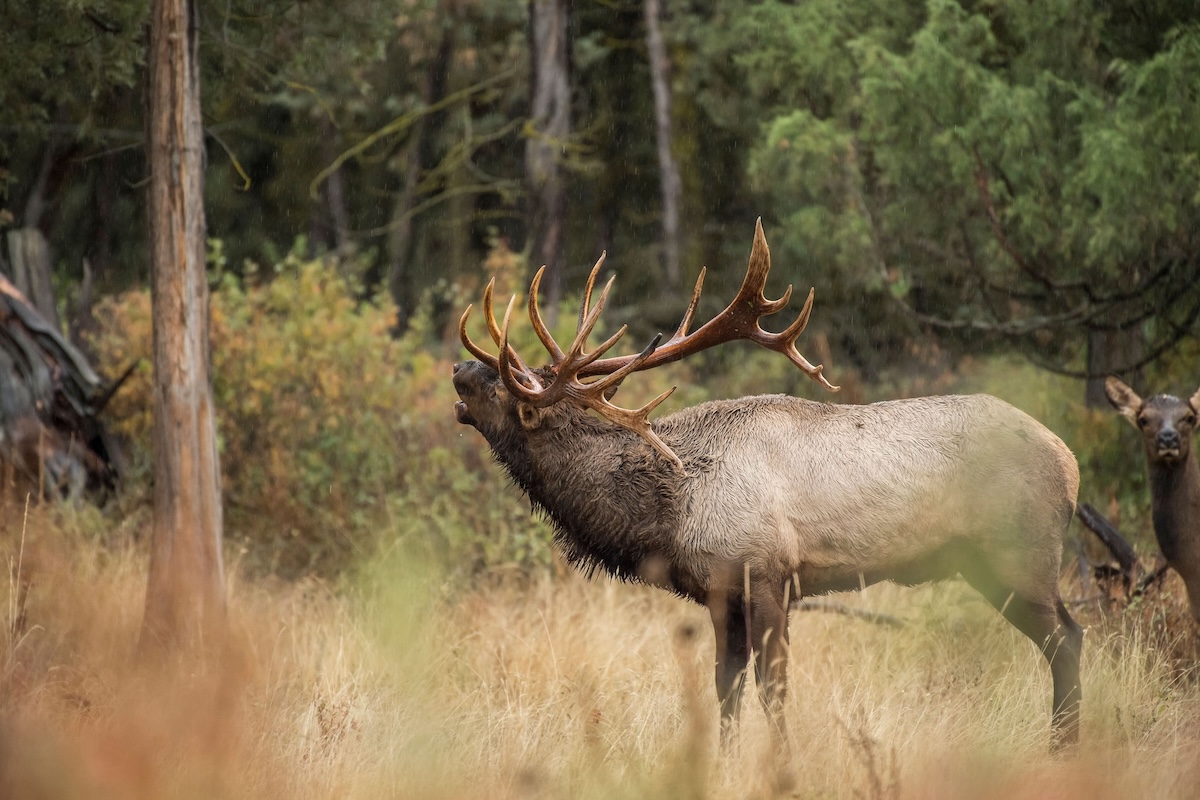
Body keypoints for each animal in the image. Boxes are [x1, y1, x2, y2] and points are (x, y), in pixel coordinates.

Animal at [452, 220, 1083, 750]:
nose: (459, 368)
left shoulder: (768, 572)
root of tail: (1070, 459)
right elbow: (725, 687)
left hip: (1017, 554)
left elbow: (772, 687)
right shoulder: (719, 591)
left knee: (1068, 641)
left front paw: (781, 766)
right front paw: (726, 763)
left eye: (506, 381)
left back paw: (1062, 748)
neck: (671, 510)